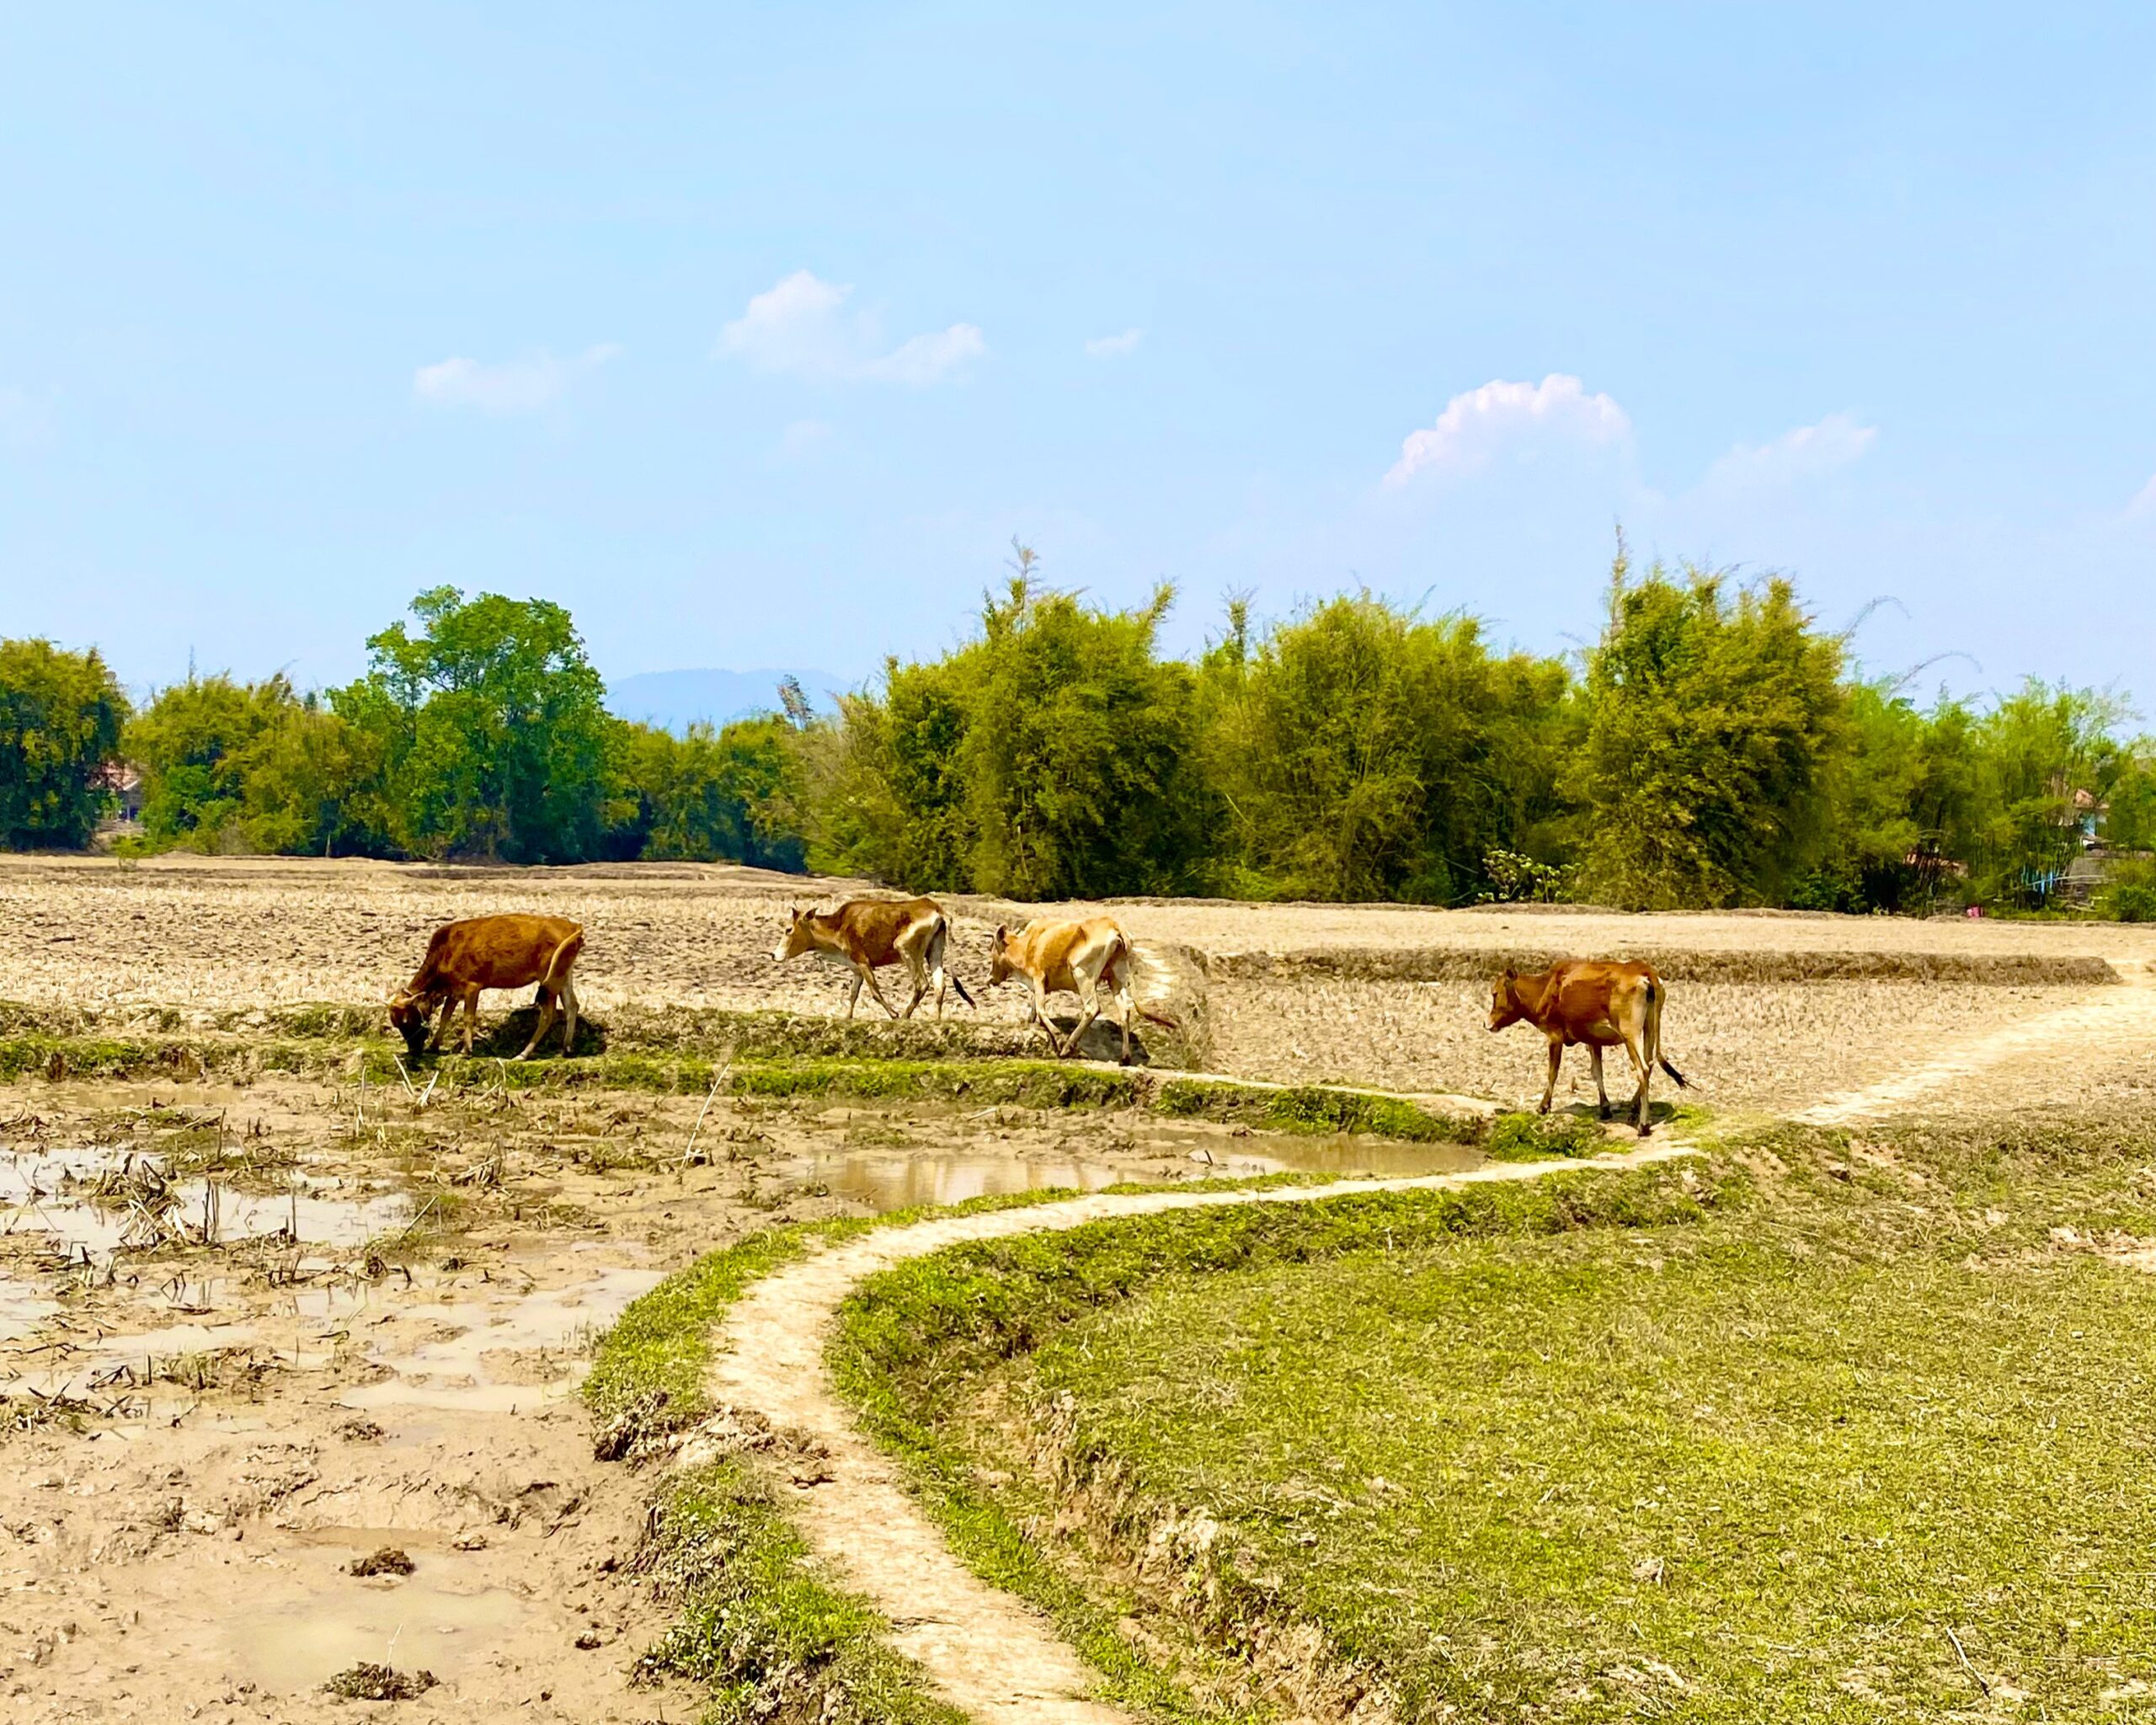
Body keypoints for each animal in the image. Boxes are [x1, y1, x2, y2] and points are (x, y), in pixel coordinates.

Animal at [390, 910, 586, 1056]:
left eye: (407, 1020)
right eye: (396, 1024)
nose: (413, 1050)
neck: (446, 951)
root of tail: (573, 926)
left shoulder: (472, 987)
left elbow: (468, 1017)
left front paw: (466, 1050)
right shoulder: (454, 991)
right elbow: (445, 1016)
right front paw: (434, 1045)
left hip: (548, 979)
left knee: (547, 1014)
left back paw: (523, 1054)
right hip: (563, 974)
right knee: (572, 1006)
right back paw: (566, 1048)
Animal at [767, 896, 979, 1017]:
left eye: (788, 929)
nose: (774, 954)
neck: (839, 926)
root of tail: (936, 909)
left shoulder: (863, 962)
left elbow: (875, 992)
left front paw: (894, 1014)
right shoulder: (856, 969)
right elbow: (853, 995)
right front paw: (847, 1018)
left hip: (906, 949)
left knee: (922, 984)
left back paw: (904, 1016)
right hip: (934, 953)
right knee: (939, 987)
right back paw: (937, 1021)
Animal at [991, 914, 1181, 1065]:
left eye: (992, 947)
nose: (990, 977)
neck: (1028, 943)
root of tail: (1113, 924)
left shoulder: (1039, 976)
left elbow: (1040, 1008)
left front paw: (1058, 1037)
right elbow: (1034, 1006)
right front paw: (1031, 1021)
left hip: (1083, 974)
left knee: (1092, 1008)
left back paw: (1068, 1047)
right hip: (1116, 978)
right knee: (1124, 1011)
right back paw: (1125, 1057)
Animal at [1492, 957, 1690, 1130]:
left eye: (1494, 993)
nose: (1488, 1023)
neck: (1545, 988)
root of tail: (1645, 970)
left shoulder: (1555, 1036)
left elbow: (1552, 1073)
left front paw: (1543, 1106)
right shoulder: (1593, 1040)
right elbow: (1598, 1072)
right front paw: (1605, 1108)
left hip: (1630, 1033)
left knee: (1643, 1069)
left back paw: (1643, 1124)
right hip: (1650, 1026)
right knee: (1650, 1063)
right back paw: (1634, 1109)